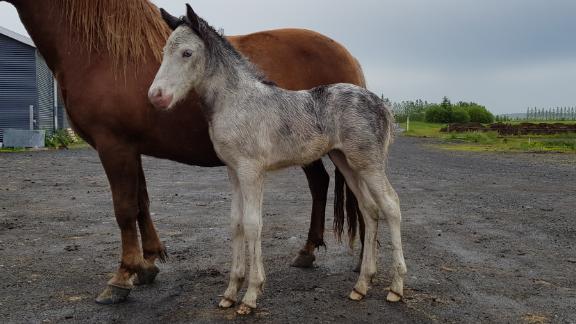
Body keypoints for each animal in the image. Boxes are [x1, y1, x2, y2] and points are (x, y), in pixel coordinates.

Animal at [3, 0, 364, 304]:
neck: (102, 51)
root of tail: (349, 57)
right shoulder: (131, 148)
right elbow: (141, 203)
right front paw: (148, 264)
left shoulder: (114, 145)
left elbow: (124, 208)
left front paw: (122, 277)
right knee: (320, 184)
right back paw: (308, 251)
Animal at [151, 5, 408, 314]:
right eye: (164, 51)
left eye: (187, 53)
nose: (156, 96)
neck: (237, 102)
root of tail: (381, 104)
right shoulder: (233, 171)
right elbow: (235, 223)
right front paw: (230, 292)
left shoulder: (251, 170)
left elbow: (253, 224)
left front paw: (250, 296)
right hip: (346, 161)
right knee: (369, 209)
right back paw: (361, 286)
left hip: (369, 163)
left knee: (391, 205)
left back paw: (395, 287)